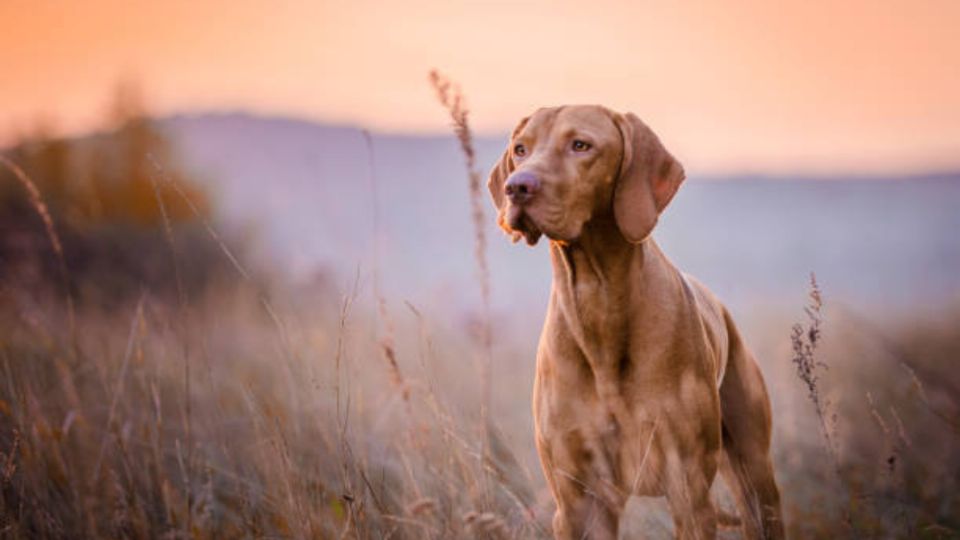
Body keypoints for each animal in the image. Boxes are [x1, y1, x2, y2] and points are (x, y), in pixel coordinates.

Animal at [484, 104, 784, 536]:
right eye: (520, 149)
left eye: (581, 145)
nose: (516, 187)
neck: (598, 301)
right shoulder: (578, 502)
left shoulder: (688, 490)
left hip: (755, 477)